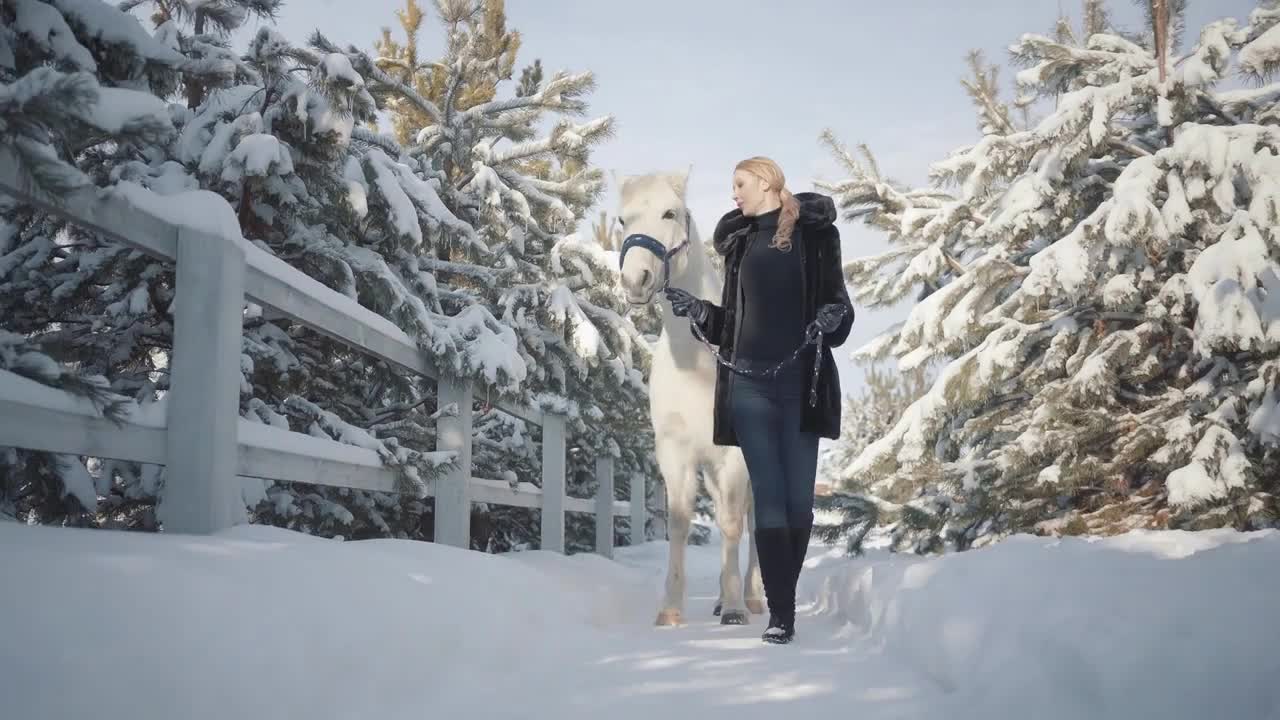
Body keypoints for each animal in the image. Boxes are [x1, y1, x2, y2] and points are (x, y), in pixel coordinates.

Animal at [614, 167, 762, 622]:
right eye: (623, 219)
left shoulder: (735, 454)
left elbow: (732, 523)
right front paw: (671, 611)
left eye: (670, 213)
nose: (636, 281)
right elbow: (678, 522)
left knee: (754, 521)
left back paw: (753, 597)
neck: (700, 363)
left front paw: (734, 608)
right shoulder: (675, 451)